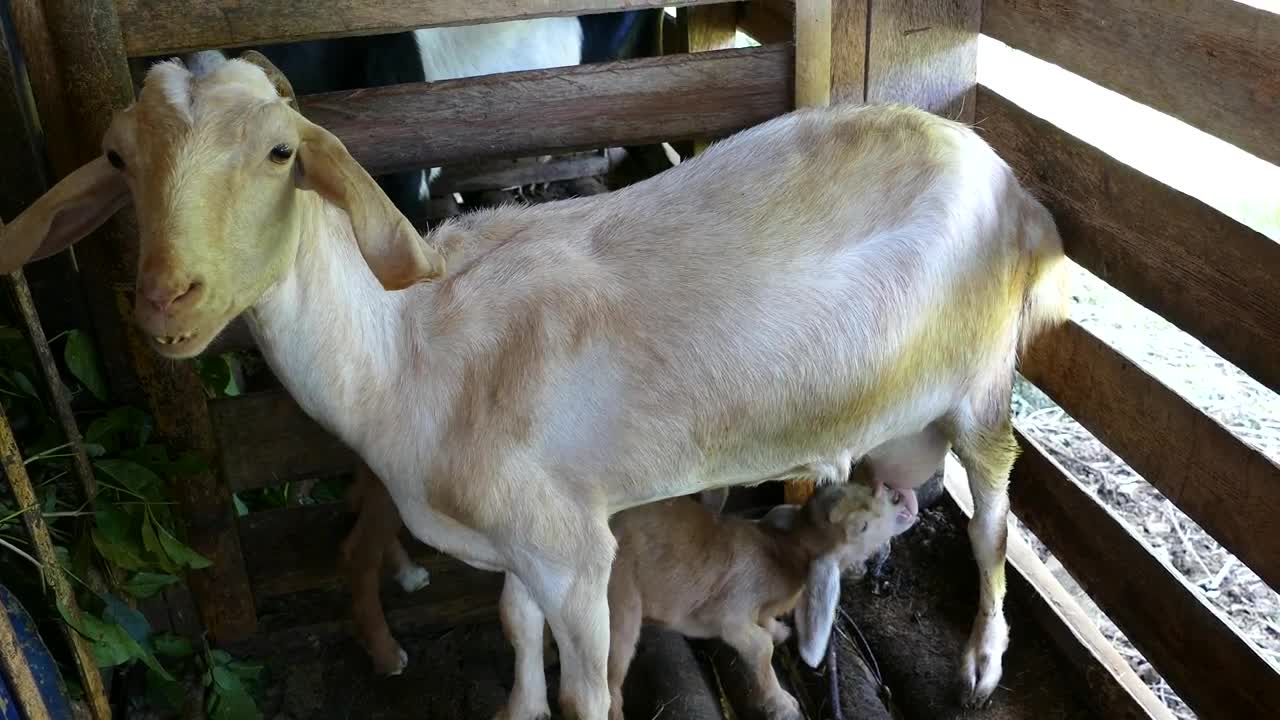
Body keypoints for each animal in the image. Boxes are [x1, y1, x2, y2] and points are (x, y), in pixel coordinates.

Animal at [608, 483, 917, 720]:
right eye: (863, 525)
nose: (902, 496)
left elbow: (768, 627)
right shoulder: (732, 613)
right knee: (610, 686)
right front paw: (783, 704)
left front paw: (781, 630)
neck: (784, 555)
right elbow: (761, 647)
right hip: (621, 610)